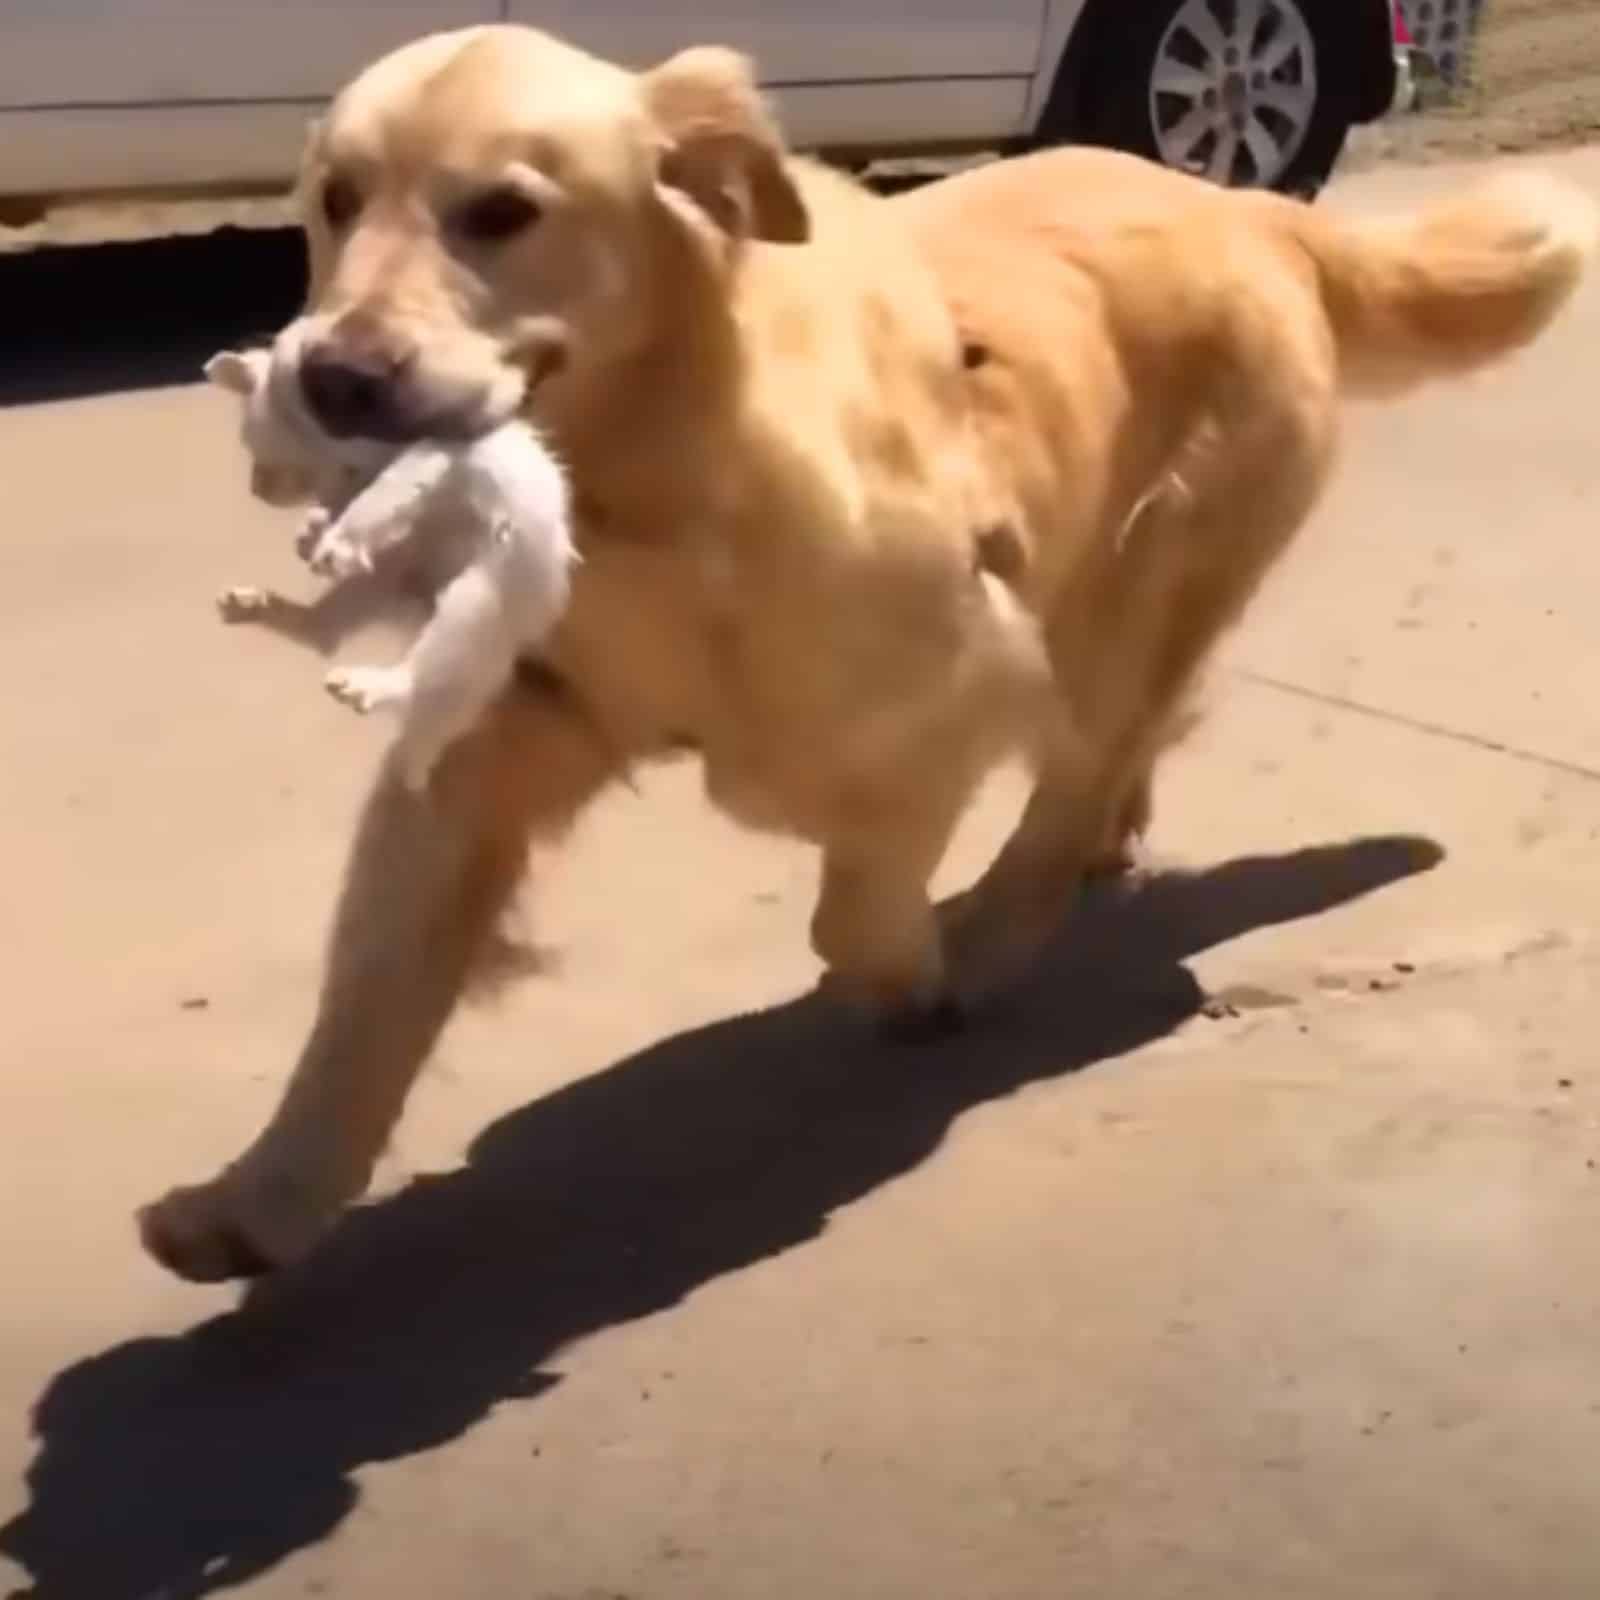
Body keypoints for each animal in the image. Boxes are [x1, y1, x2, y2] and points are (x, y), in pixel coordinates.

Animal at [140, 21, 1587, 1286]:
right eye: (336, 200)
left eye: (501, 210)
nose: (333, 377)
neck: (647, 485)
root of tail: (1245, 205)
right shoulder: (495, 739)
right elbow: (370, 990)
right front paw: (262, 1198)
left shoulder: (961, 678)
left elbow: (851, 905)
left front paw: (916, 973)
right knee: (1115, 758)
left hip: (1145, 583)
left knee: (1080, 772)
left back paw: (996, 931)